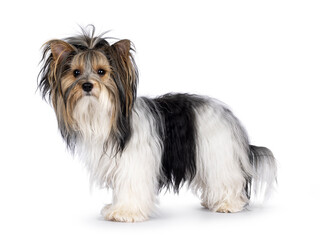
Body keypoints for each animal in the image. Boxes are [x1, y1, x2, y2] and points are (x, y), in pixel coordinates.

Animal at [38, 25, 278, 222]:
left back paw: (228, 204)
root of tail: (231, 118)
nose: (87, 85)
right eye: (75, 73)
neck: (104, 116)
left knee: (227, 180)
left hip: (218, 154)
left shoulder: (134, 164)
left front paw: (124, 212)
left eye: (101, 72)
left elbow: (131, 187)